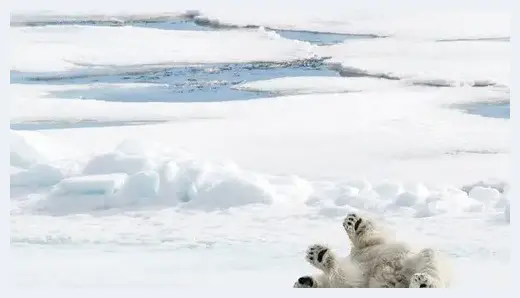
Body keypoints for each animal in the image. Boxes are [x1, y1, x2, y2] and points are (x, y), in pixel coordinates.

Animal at [292, 212, 450, 288]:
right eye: (297, 285)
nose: (302, 280)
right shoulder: (356, 284)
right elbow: (349, 276)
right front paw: (320, 256)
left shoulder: (367, 252)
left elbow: (373, 241)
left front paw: (354, 223)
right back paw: (421, 284)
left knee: (429, 258)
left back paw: (424, 281)